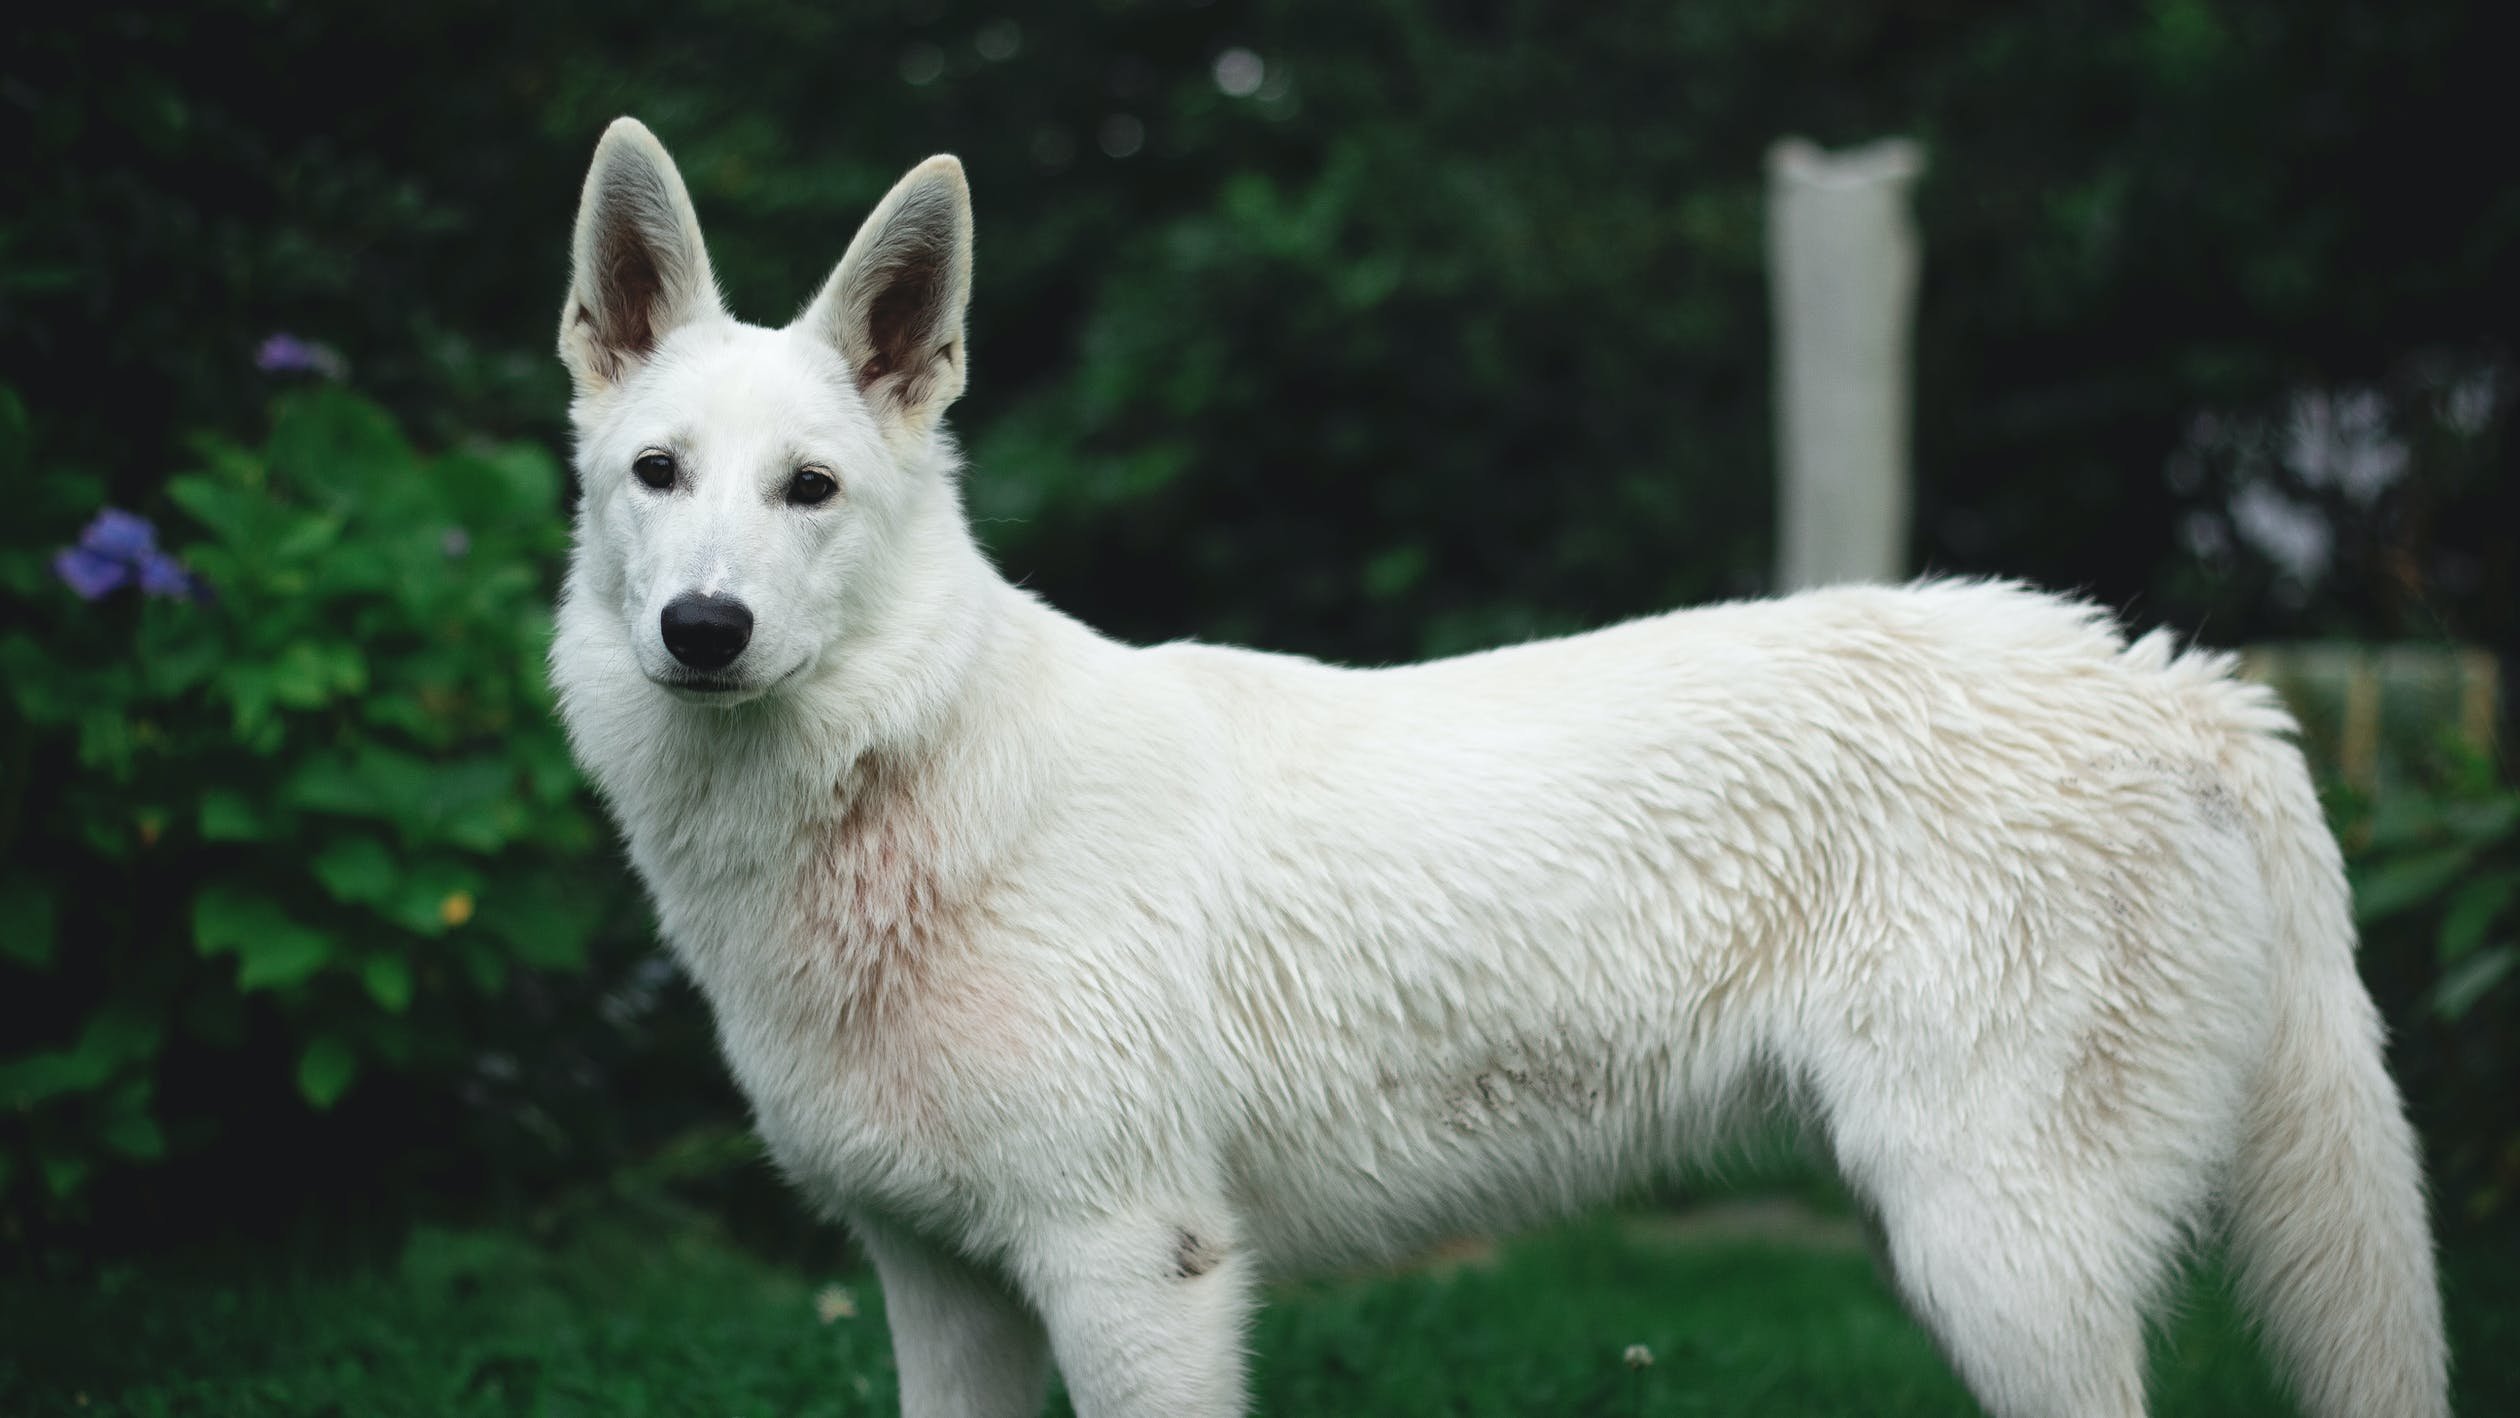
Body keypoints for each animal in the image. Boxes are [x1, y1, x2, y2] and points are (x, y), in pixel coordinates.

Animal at [546, 122, 2439, 1418]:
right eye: (657, 472)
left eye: (809, 489)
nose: (704, 628)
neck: (903, 780)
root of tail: (2177, 683)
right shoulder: (942, 1289)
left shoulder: (1136, 1269)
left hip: (2000, 1266)